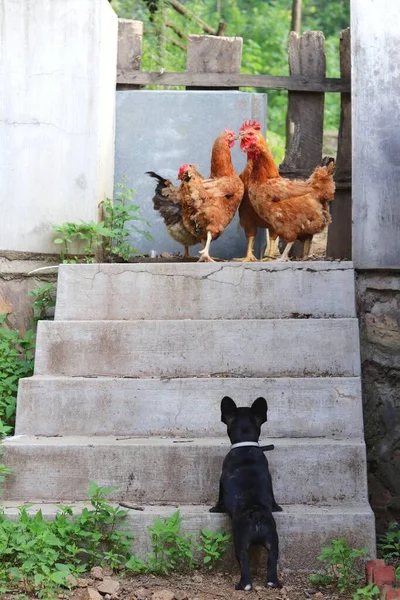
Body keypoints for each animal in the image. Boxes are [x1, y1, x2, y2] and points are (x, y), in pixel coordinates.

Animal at [209, 398, 282, 592]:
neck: (246, 444)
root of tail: (255, 513)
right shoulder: (269, 478)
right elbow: (273, 497)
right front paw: (277, 507)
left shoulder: (221, 479)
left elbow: (219, 498)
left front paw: (214, 509)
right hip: (273, 540)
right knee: (272, 560)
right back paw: (274, 582)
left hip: (240, 542)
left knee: (244, 563)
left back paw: (243, 585)